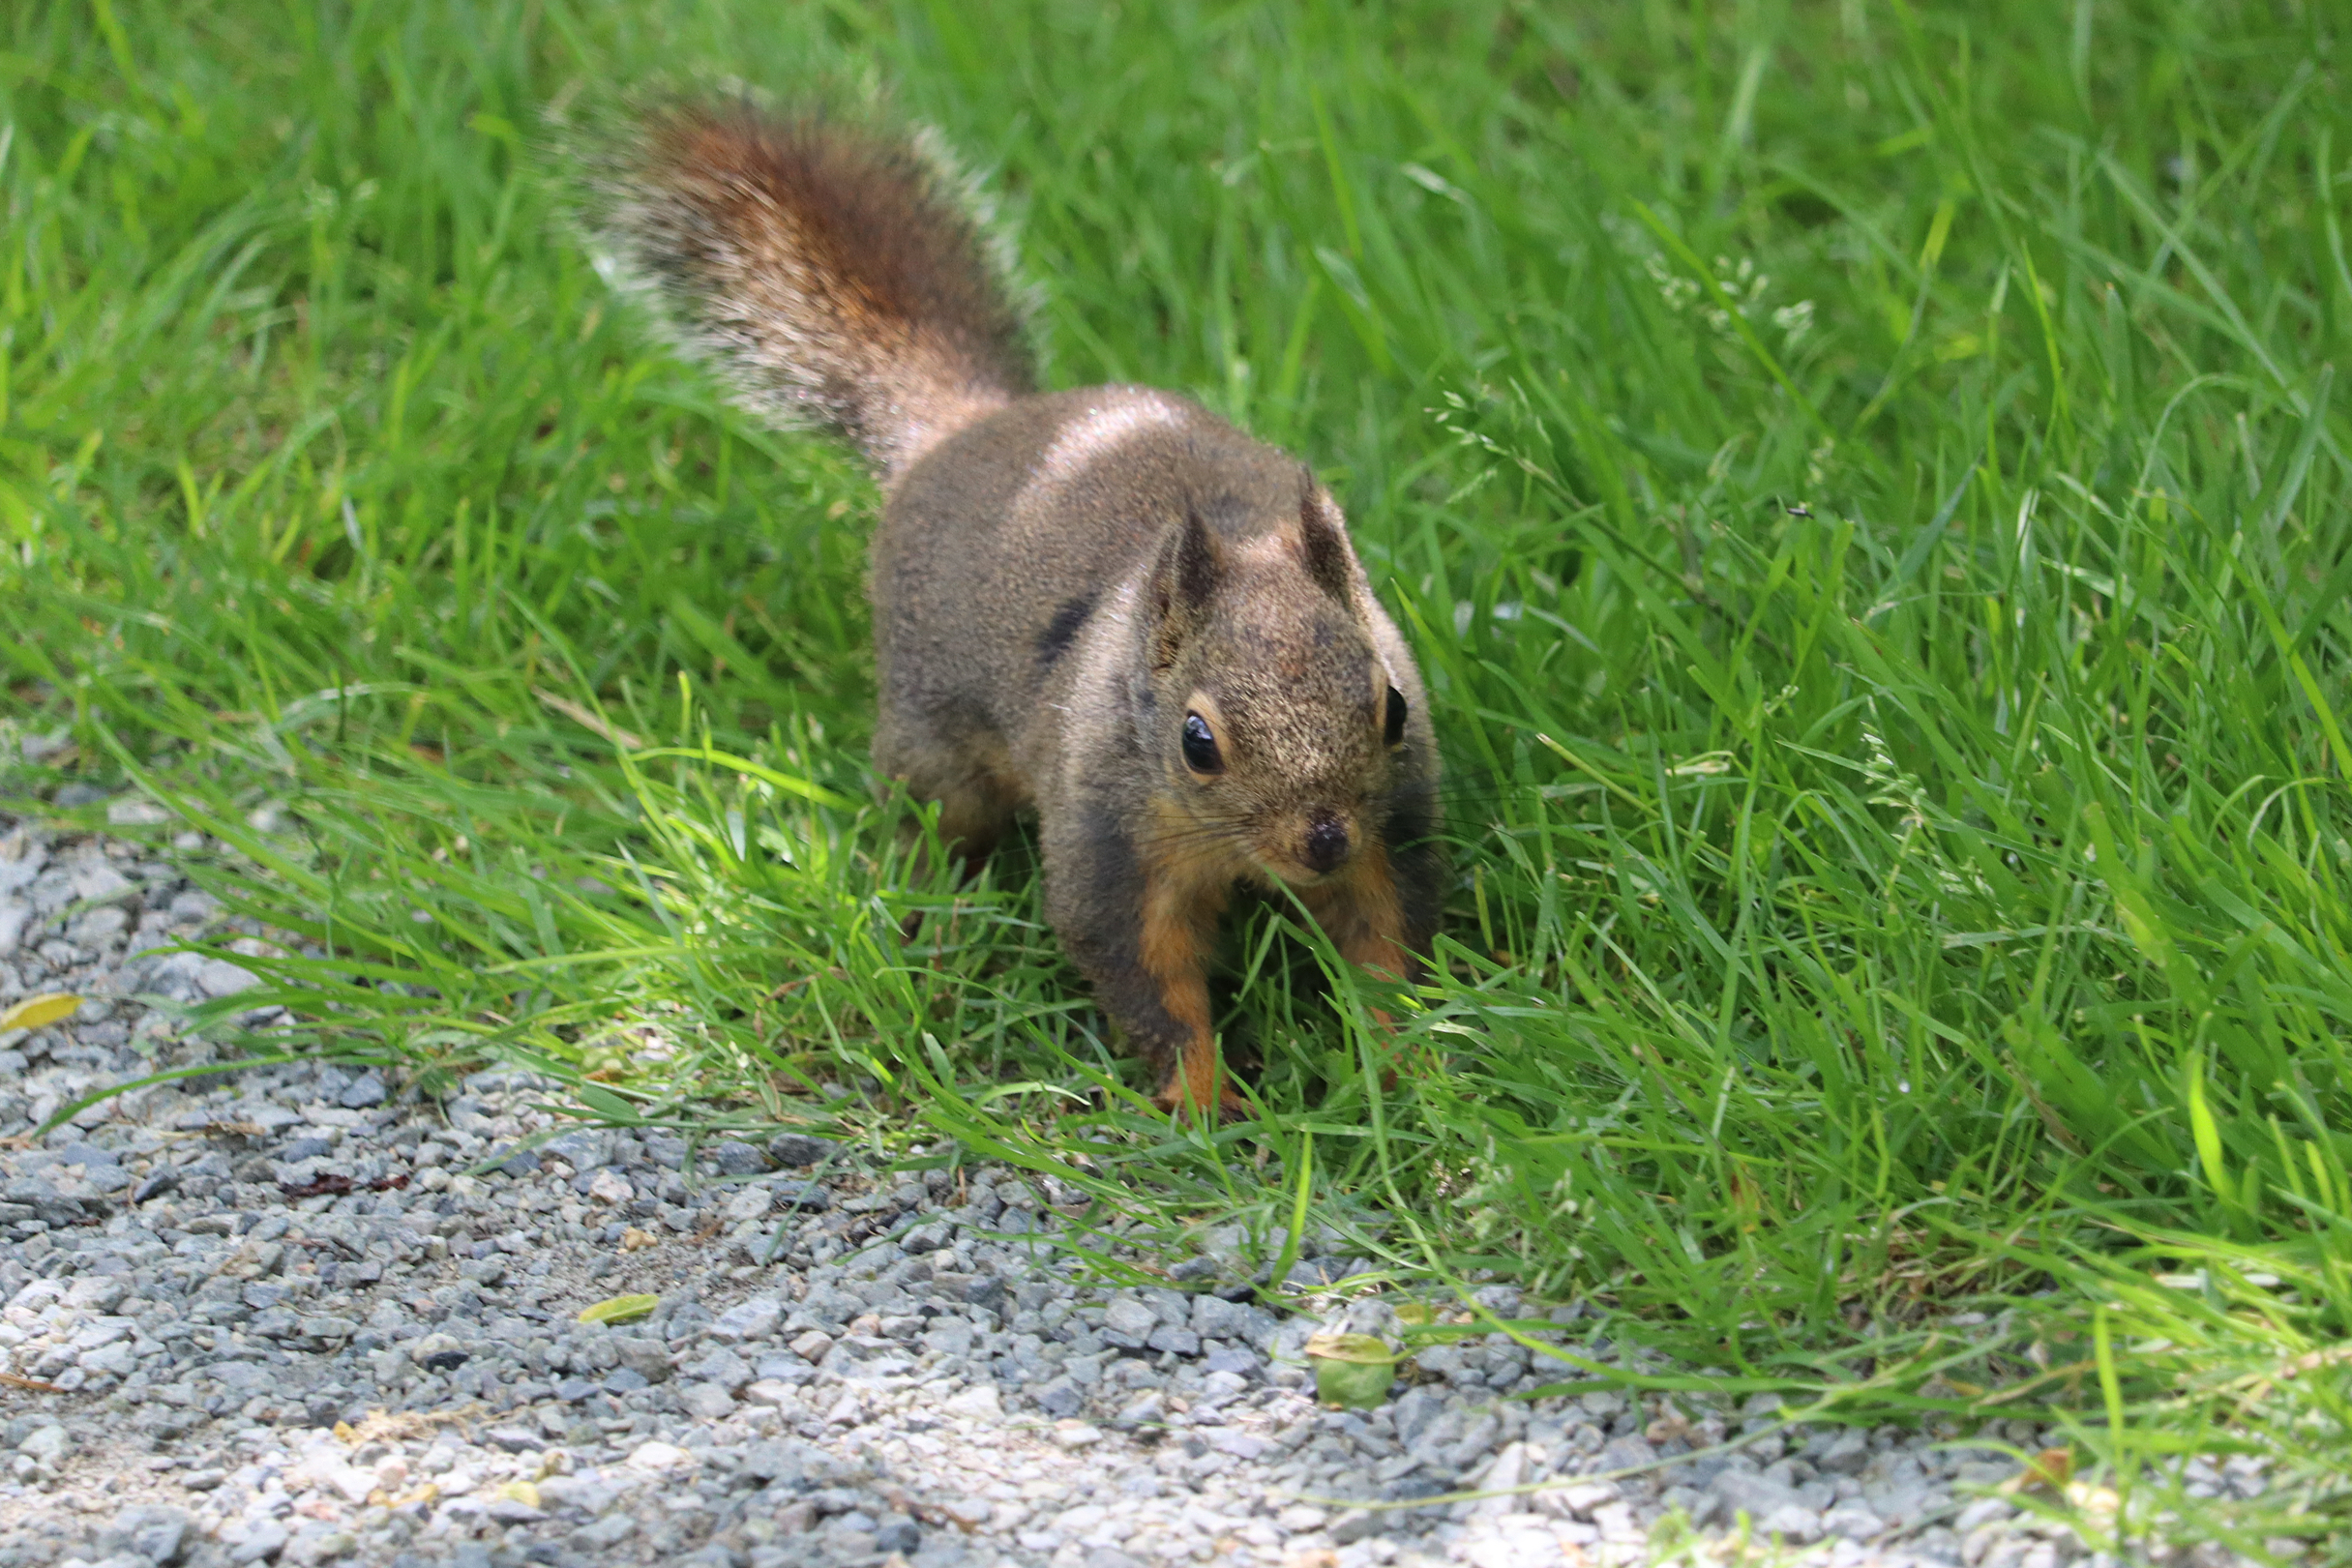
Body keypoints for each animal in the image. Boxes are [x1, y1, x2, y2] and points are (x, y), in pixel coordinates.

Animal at [582, 104, 1445, 1117]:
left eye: (1392, 707)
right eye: (1196, 742)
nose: (1322, 839)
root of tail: (961, 432)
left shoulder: (1391, 832)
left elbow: (1387, 941)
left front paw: (1414, 1067)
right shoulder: (1106, 847)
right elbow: (1150, 984)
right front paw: (1201, 1104)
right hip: (933, 745)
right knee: (931, 820)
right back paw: (930, 906)